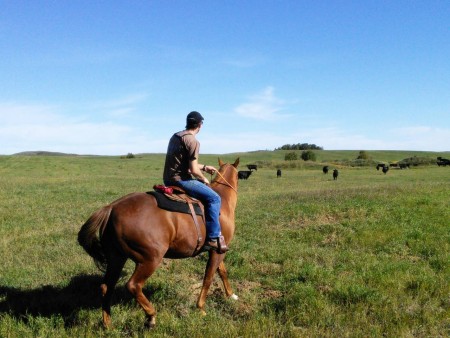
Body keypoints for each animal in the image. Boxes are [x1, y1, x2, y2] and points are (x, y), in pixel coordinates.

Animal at [78, 158, 241, 328]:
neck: (223, 200)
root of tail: (111, 208)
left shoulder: (218, 249)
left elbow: (222, 272)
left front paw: (231, 295)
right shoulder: (217, 251)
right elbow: (208, 277)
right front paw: (201, 308)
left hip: (116, 258)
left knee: (106, 287)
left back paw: (108, 324)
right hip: (150, 259)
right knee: (133, 285)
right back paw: (151, 316)